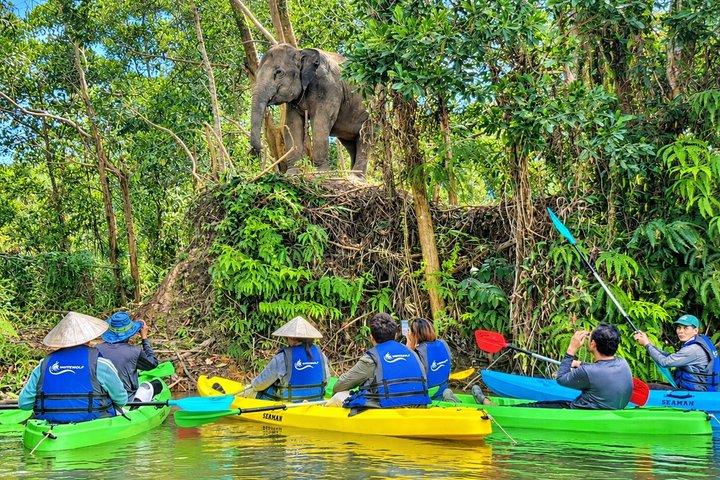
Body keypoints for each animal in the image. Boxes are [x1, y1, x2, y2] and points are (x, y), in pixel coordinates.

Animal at [250, 43, 370, 177]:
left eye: (279, 72)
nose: (261, 148)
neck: (300, 51)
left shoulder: (329, 87)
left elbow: (320, 122)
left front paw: (321, 174)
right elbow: (292, 124)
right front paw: (292, 173)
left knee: (365, 137)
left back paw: (356, 178)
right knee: (350, 143)